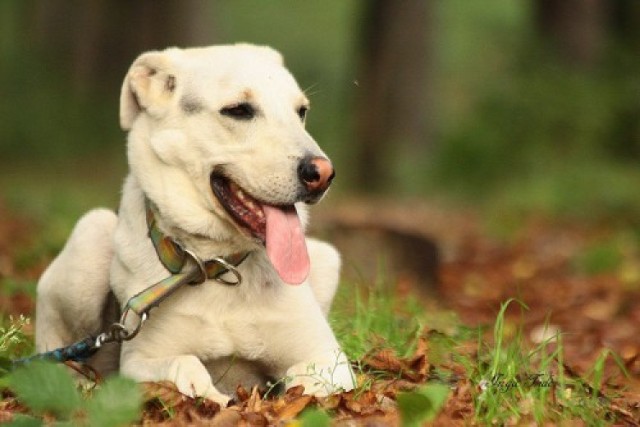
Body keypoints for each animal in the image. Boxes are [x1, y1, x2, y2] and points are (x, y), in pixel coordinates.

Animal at [33, 44, 356, 408]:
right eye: (238, 110)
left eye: (301, 112)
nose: (323, 173)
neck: (220, 265)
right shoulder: (139, 360)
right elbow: (185, 365)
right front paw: (210, 396)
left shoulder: (329, 358)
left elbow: (306, 382)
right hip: (91, 237)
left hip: (327, 258)